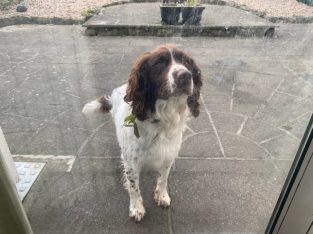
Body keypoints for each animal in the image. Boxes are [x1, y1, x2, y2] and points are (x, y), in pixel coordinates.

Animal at [81, 44, 201, 222]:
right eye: (159, 63)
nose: (185, 76)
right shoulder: (131, 162)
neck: (162, 119)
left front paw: (162, 195)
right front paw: (136, 208)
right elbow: (133, 186)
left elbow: (163, 178)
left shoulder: (168, 155)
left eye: (185, 62)